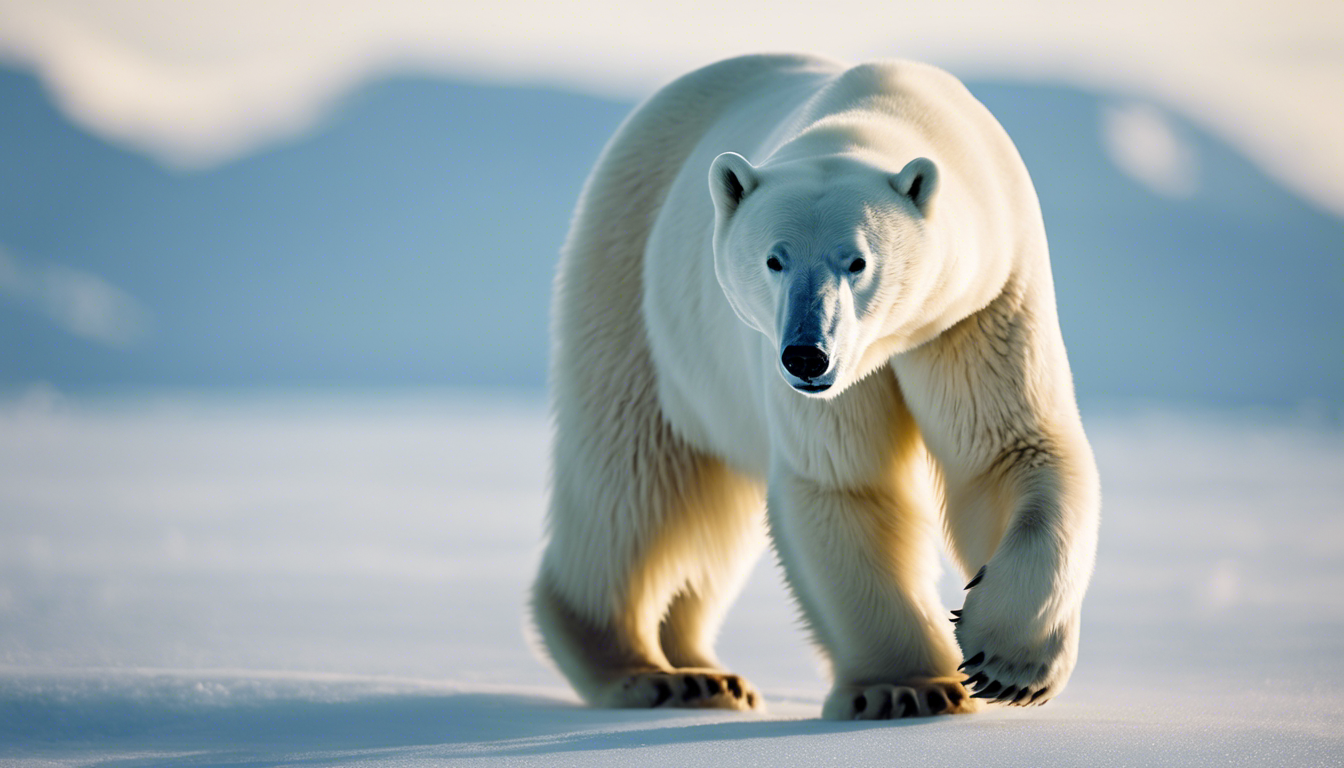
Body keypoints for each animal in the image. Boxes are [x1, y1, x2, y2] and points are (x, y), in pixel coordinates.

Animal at [529, 55, 1096, 720]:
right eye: (774, 259)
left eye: (858, 261)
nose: (805, 353)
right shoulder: (830, 380)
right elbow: (845, 482)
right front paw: (908, 688)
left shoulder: (980, 309)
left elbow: (1009, 449)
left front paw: (1007, 666)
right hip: (633, 289)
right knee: (633, 483)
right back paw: (651, 674)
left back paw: (705, 671)